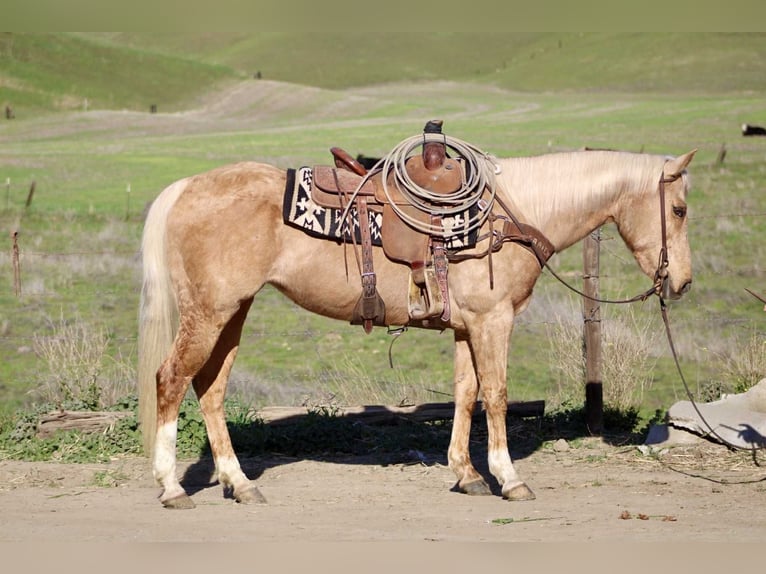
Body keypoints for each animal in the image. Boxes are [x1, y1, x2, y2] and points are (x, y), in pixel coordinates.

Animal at [137, 145, 696, 509]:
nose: (683, 281)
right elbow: (496, 395)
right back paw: (172, 487)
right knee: (171, 380)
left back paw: (241, 484)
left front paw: (466, 474)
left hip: (233, 312)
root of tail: (185, 189)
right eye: (679, 208)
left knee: (210, 390)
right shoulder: (493, 321)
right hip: (209, 312)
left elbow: (466, 394)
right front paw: (508, 478)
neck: (511, 214)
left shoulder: (468, 327)